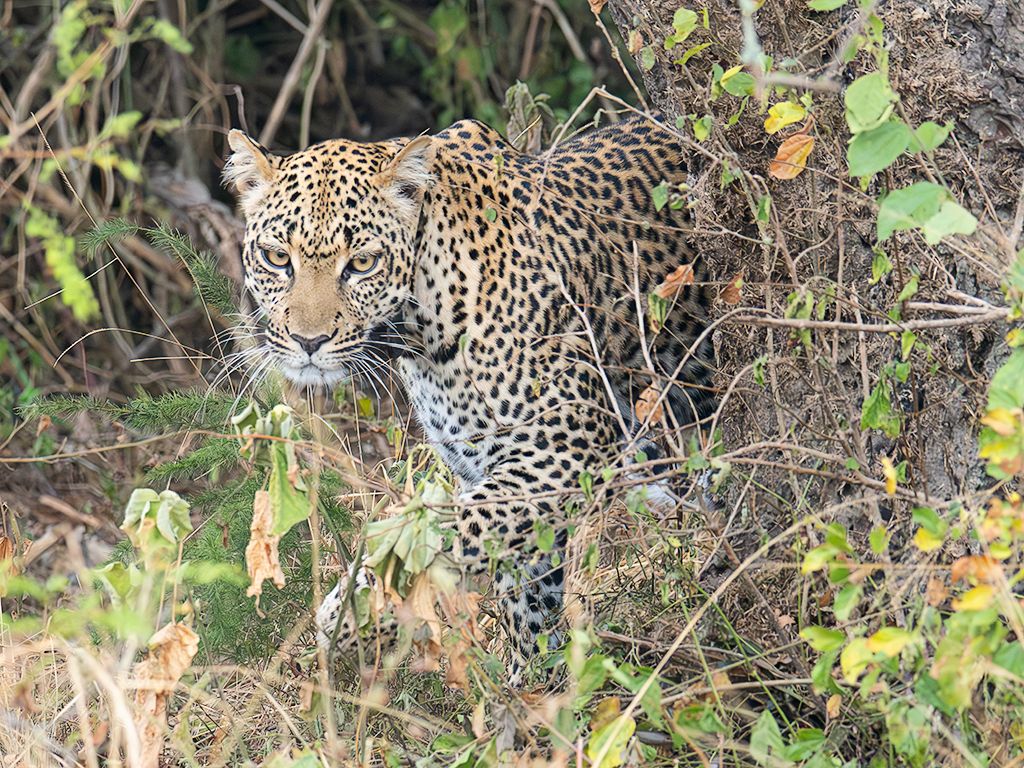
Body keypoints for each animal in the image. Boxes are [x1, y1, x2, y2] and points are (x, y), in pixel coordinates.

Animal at [223, 112, 715, 682]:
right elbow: (525, 596)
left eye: (363, 263)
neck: (423, 333)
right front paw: (533, 693)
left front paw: (352, 613)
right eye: (277, 257)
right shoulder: (491, 467)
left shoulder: (569, 442)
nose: (308, 341)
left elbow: (448, 530)